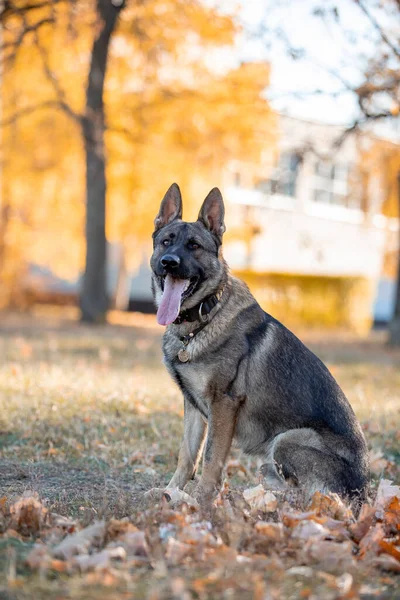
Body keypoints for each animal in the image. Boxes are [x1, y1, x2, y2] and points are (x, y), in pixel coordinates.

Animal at [152, 182, 370, 502]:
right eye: (166, 242)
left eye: (194, 246)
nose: (169, 262)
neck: (204, 317)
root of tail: (365, 491)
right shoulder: (192, 406)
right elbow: (187, 456)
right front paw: (172, 494)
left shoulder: (223, 405)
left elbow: (211, 459)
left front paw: (200, 502)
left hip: (288, 438)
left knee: (305, 497)